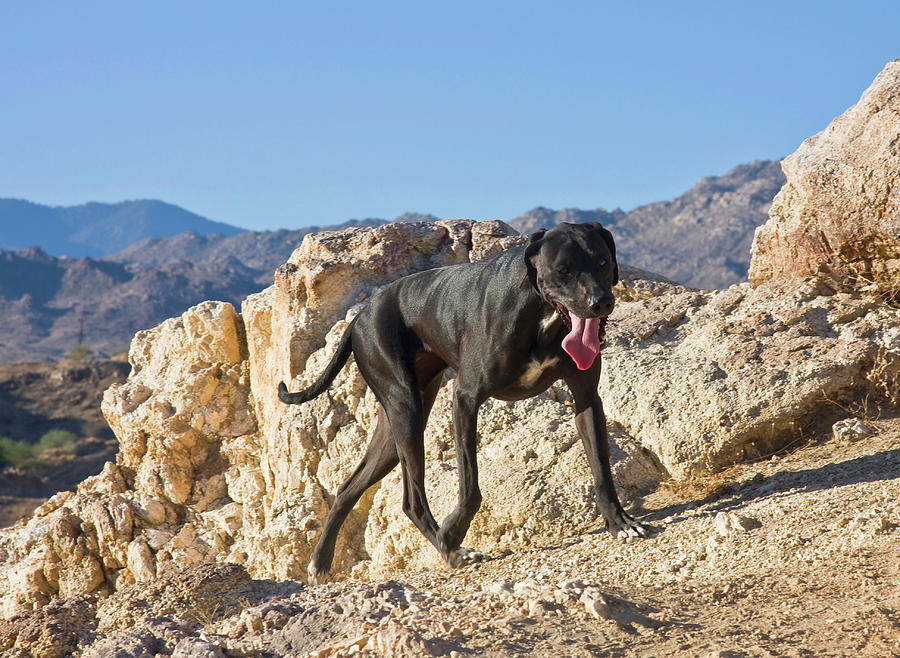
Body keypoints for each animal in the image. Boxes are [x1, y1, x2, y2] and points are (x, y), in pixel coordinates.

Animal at [280, 223, 648, 580]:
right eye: (564, 270)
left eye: (602, 262)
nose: (601, 302)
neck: (539, 312)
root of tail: (361, 314)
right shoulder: (465, 399)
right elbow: (470, 486)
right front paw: (451, 534)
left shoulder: (586, 397)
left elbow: (601, 467)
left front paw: (620, 522)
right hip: (405, 411)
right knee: (412, 500)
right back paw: (451, 552)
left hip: (394, 428)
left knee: (348, 488)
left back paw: (320, 561)